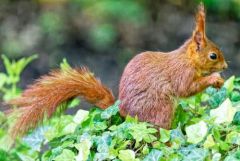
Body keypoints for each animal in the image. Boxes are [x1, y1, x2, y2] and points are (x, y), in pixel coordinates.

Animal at [7, 3, 227, 137]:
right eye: (213, 56)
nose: (225, 66)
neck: (187, 59)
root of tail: (124, 116)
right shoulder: (182, 74)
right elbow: (187, 89)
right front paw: (214, 79)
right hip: (161, 109)